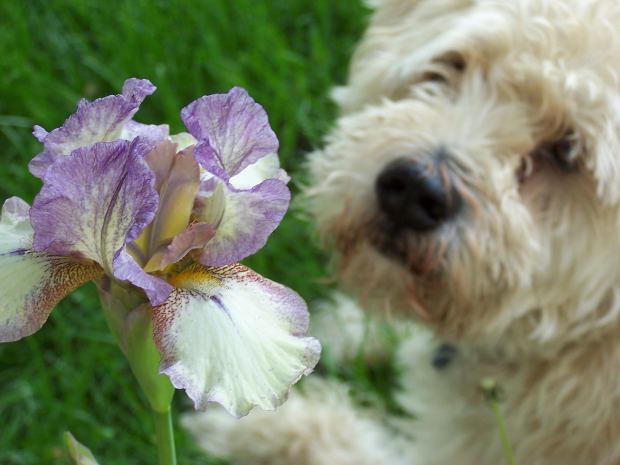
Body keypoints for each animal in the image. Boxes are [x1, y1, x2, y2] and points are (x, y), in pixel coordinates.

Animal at [184, 0, 620, 464]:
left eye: (567, 150)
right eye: (453, 63)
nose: (413, 190)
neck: (585, 335)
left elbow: (330, 437)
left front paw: (247, 418)